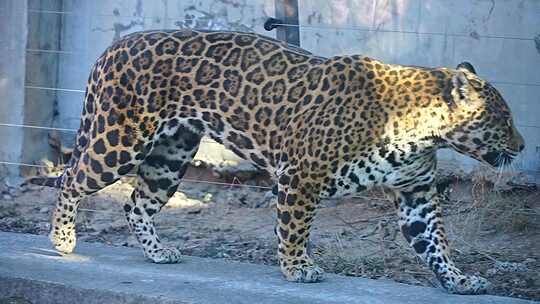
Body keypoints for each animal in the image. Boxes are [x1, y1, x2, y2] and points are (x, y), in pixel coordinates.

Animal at [30, 28, 524, 294]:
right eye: (503, 119)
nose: (521, 147)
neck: (420, 130)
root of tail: (112, 48)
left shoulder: (416, 194)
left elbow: (436, 244)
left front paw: (460, 281)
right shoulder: (301, 176)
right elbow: (295, 228)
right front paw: (297, 268)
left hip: (171, 155)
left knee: (136, 203)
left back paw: (158, 253)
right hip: (118, 141)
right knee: (71, 179)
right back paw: (63, 240)